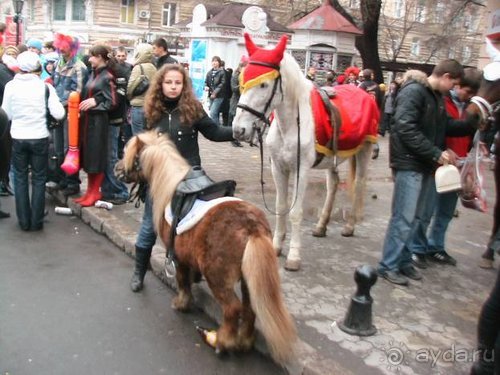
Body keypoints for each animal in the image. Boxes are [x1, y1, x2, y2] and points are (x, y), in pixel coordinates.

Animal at [116, 131, 296, 366]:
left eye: (131, 156)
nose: (116, 169)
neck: (171, 188)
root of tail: (253, 227)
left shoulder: (178, 258)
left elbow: (182, 281)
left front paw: (181, 304)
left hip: (218, 278)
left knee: (232, 309)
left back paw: (223, 342)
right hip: (248, 279)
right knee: (249, 309)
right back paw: (244, 342)